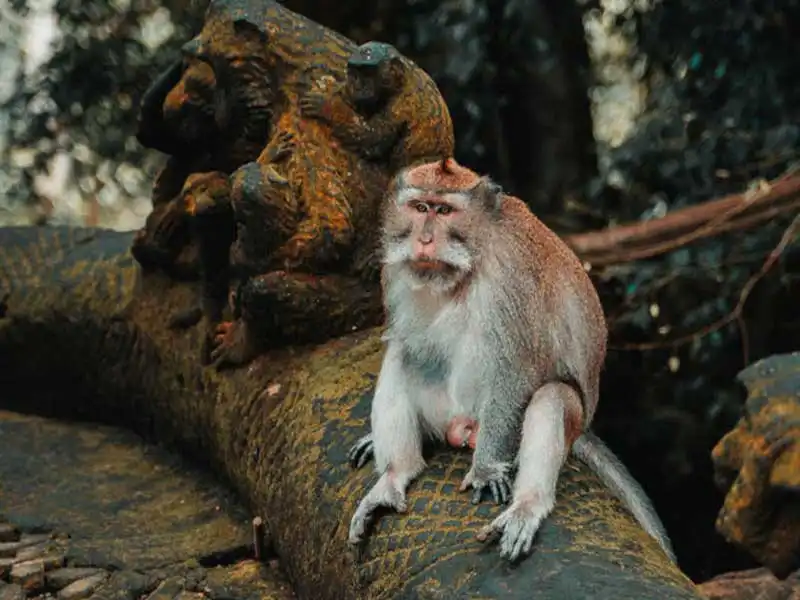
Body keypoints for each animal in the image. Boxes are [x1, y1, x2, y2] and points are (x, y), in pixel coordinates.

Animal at [298, 41, 454, 171]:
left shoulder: (401, 105)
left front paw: (329, 106)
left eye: (366, 73)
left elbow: (370, 141)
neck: (403, 80)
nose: (356, 84)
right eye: (355, 72)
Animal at [347, 158, 676, 563]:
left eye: (444, 211)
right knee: (401, 354)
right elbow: (405, 341)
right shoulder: (394, 271)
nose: (423, 240)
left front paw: (487, 471)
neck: (467, 263)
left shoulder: (511, 274)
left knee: (552, 397)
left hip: (518, 422)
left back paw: (528, 505)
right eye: (420, 207)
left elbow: (515, 368)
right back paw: (394, 476)